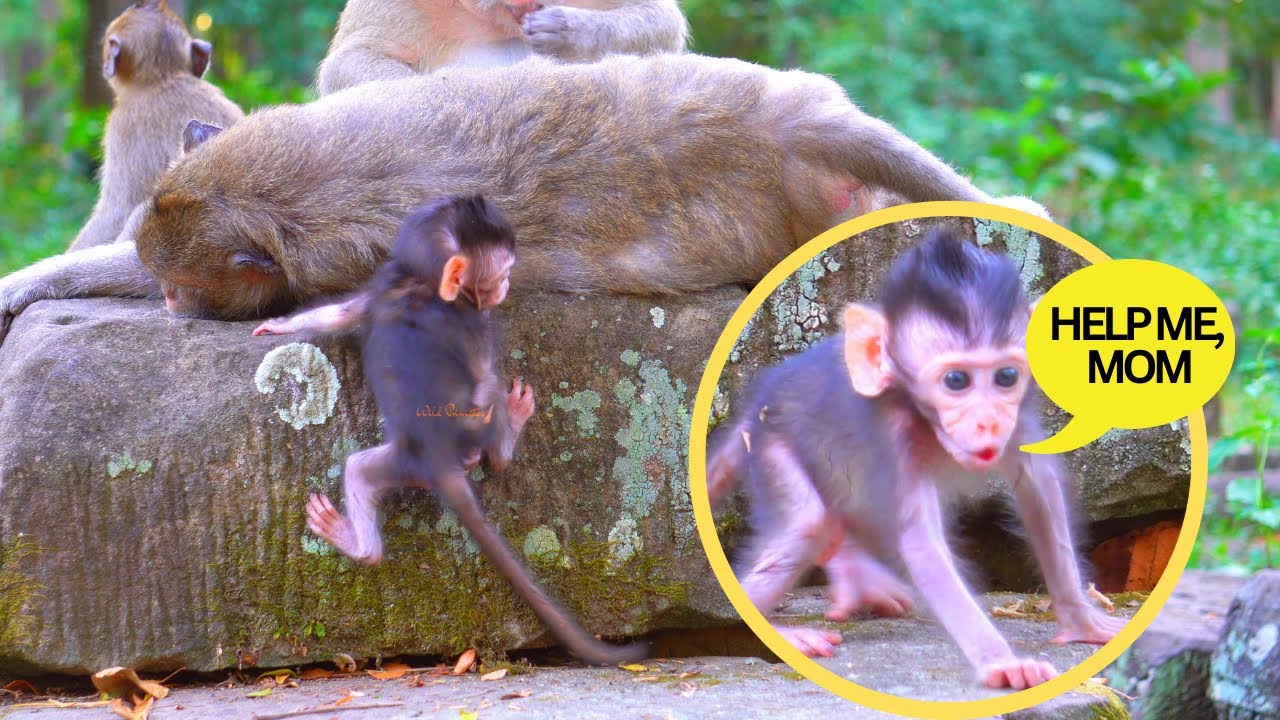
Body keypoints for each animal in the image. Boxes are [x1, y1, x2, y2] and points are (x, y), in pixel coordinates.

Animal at [306, 194, 645, 665]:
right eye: (501, 273)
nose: (505, 288)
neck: (422, 287)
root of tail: (439, 462)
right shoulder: (474, 320)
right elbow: (481, 377)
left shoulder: (388, 285)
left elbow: (341, 314)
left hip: (401, 460)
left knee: (358, 469)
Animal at [707, 228, 1125, 689]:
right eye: (956, 380)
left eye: (1006, 377)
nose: (988, 423)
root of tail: (756, 407)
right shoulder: (895, 437)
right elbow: (922, 543)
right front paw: (1001, 662)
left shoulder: (1017, 424)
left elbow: (1039, 491)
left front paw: (1082, 620)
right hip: (771, 446)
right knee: (809, 521)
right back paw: (782, 631)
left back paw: (854, 577)